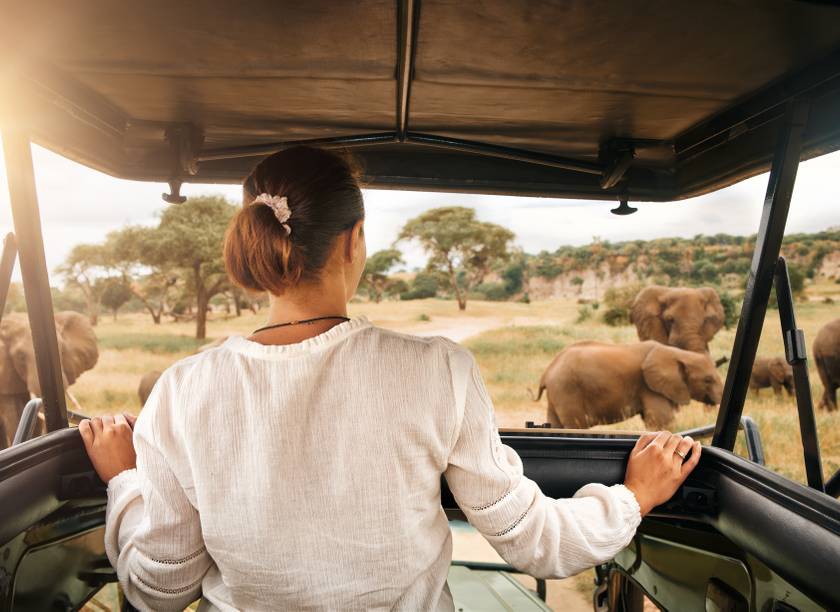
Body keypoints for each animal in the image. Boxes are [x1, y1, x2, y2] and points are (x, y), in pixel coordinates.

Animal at [536, 340, 724, 430]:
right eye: (708, 380)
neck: (679, 353)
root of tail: (547, 371)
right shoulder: (649, 387)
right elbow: (663, 421)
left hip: (558, 393)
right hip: (567, 390)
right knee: (577, 425)